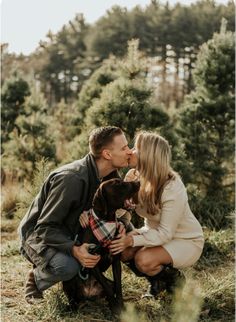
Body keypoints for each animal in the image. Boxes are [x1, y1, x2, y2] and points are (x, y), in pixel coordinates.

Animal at [62, 177, 140, 314]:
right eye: (117, 183)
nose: (139, 182)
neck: (106, 222)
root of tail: (88, 295)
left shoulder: (116, 260)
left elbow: (118, 287)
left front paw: (120, 308)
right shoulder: (91, 262)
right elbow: (106, 286)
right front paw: (116, 309)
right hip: (68, 280)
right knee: (73, 297)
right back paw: (71, 307)